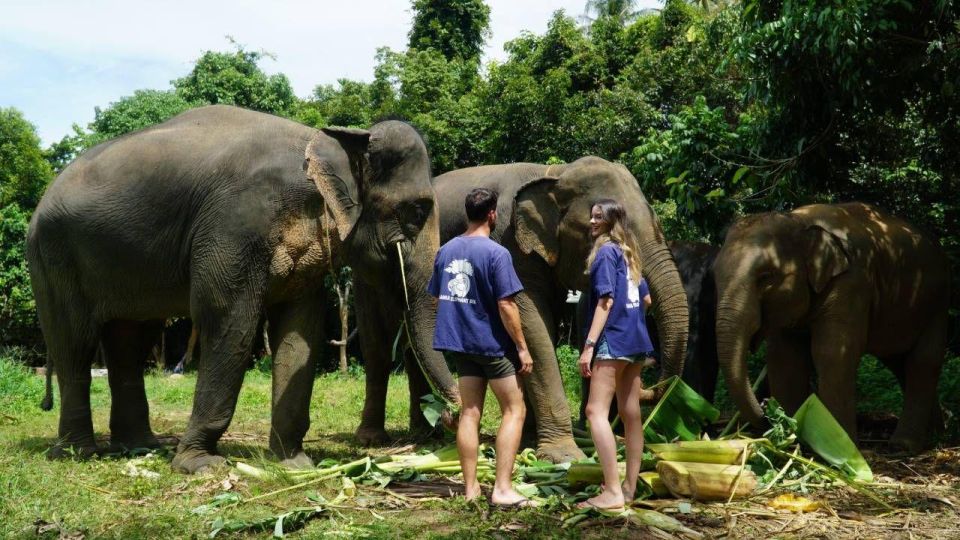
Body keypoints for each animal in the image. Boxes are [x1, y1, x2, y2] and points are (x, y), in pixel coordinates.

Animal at [26, 104, 454, 472]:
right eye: (417, 211)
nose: (449, 418)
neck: (325, 142)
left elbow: (300, 331)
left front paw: (293, 464)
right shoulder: (235, 223)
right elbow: (228, 319)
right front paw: (200, 466)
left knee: (130, 341)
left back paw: (141, 448)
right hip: (52, 257)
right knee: (74, 343)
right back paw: (78, 454)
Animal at [716, 202, 948, 452]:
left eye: (765, 276)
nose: (765, 411)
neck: (797, 221)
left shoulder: (852, 282)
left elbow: (833, 353)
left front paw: (839, 448)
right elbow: (784, 358)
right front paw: (789, 442)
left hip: (938, 302)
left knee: (924, 360)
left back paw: (904, 445)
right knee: (899, 362)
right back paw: (936, 434)